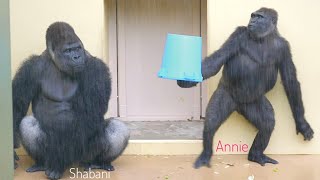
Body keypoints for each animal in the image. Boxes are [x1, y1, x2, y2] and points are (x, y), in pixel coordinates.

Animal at [12, 21, 130, 179]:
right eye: (68, 51)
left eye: (77, 48)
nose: (77, 57)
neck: (57, 64)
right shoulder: (30, 68)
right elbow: (17, 104)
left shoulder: (96, 68)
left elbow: (89, 114)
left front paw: (58, 165)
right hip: (51, 151)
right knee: (28, 123)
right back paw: (41, 163)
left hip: (84, 155)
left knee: (117, 127)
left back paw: (99, 162)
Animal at [179, 7, 314, 167]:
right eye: (253, 16)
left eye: (259, 17)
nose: (252, 21)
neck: (264, 38)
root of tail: (238, 107)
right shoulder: (238, 34)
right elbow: (215, 61)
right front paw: (186, 80)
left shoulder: (284, 47)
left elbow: (290, 81)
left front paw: (302, 124)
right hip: (226, 92)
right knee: (212, 120)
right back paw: (206, 153)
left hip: (251, 102)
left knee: (267, 122)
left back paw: (256, 155)